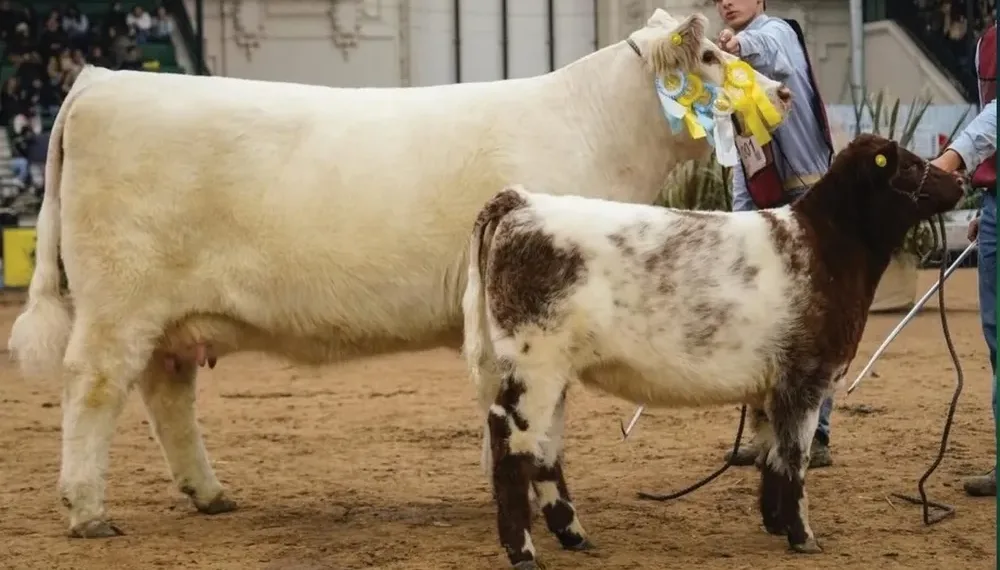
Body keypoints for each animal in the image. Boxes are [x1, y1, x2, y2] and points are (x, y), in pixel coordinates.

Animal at [7, 9, 791, 539]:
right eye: (714, 57)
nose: (782, 93)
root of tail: (100, 80)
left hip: (168, 315)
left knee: (167, 392)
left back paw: (208, 492)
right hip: (118, 301)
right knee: (94, 387)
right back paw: (87, 510)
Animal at [461, 133, 964, 568]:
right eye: (910, 165)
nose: (959, 180)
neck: (828, 248)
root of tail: (524, 201)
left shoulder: (771, 385)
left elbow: (770, 455)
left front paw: (775, 523)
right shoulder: (805, 376)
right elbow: (795, 458)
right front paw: (804, 536)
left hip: (551, 371)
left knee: (545, 448)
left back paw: (574, 536)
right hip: (534, 362)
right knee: (510, 442)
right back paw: (524, 552)